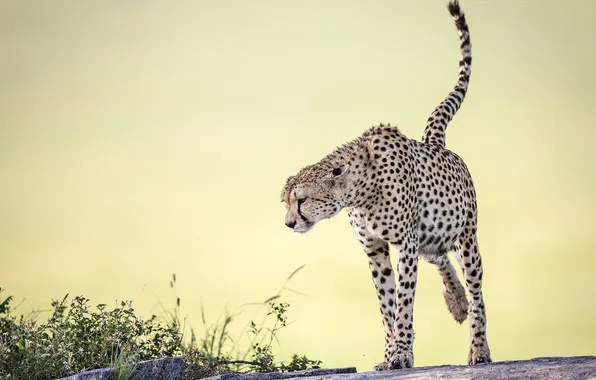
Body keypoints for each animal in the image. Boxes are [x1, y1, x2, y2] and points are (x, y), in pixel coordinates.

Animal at [282, 0, 492, 370]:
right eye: (286, 202)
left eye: (302, 200)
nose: (289, 223)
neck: (360, 190)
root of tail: (434, 142)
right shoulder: (375, 248)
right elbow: (386, 304)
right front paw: (389, 353)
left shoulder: (404, 244)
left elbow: (404, 301)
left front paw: (401, 353)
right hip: (433, 237)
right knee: (440, 258)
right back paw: (457, 302)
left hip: (466, 237)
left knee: (477, 288)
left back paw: (479, 347)